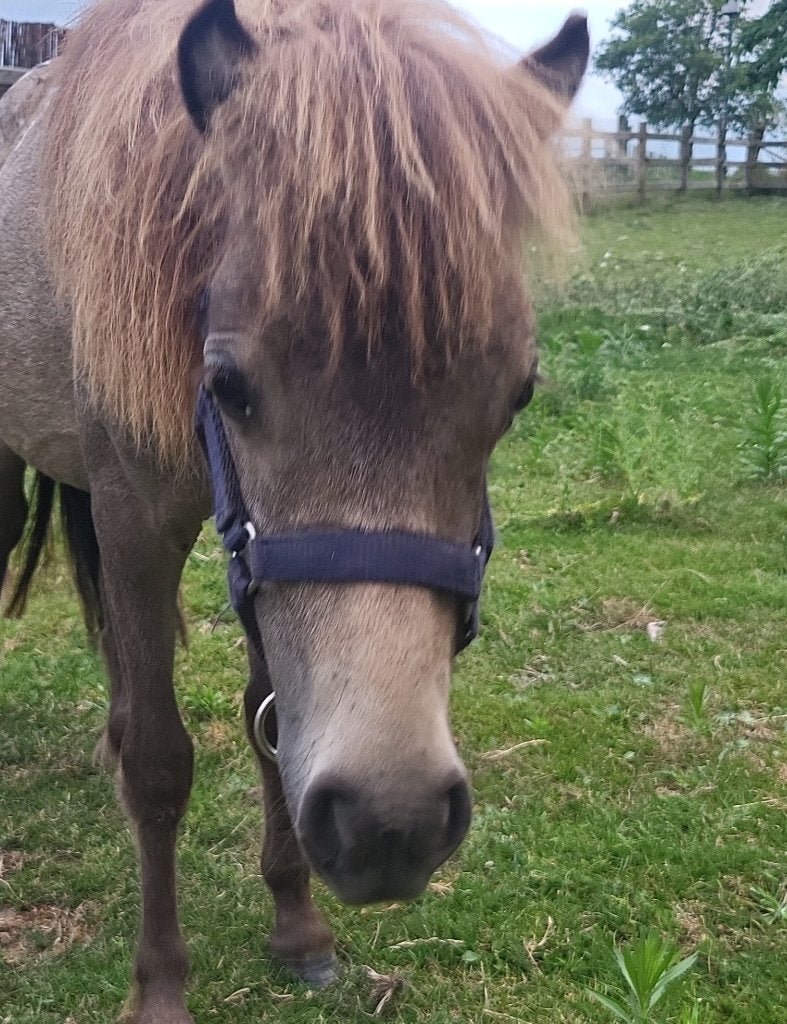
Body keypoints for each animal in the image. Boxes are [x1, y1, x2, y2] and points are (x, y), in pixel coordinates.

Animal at [0, 0, 587, 1020]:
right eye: (230, 386)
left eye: (516, 394)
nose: (391, 823)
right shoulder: (137, 522)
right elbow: (161, 761)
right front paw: (160, 984)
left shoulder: (250, 552)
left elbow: (265, 716)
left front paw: (297, 925)